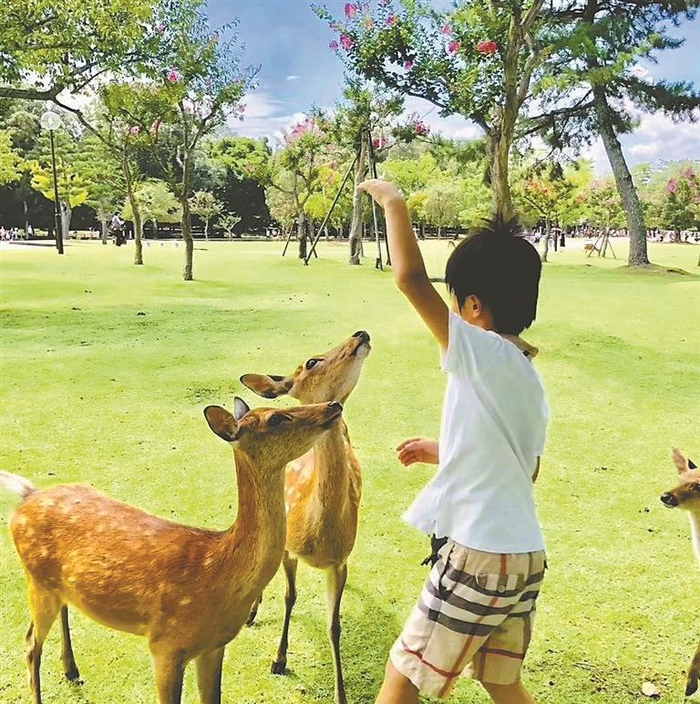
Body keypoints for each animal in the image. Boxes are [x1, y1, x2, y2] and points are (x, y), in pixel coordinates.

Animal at [0, 397, 344, 704]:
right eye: (276, 418)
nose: (333, 405)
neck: (218, 571)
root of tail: (27, 497)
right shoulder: (164, 645)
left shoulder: (214, 646)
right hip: (36, 578)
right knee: (30, 643)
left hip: (57, 584)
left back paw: (72, 670)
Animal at [240, 329, 371, 704]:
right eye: (312, 362)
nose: (360, 333)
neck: (317, 534)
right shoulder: (289, 549)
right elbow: (290, 597)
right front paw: (278, 659)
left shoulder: (340, 562)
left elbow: (334, 624)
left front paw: (342, 694)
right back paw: (252, 612)